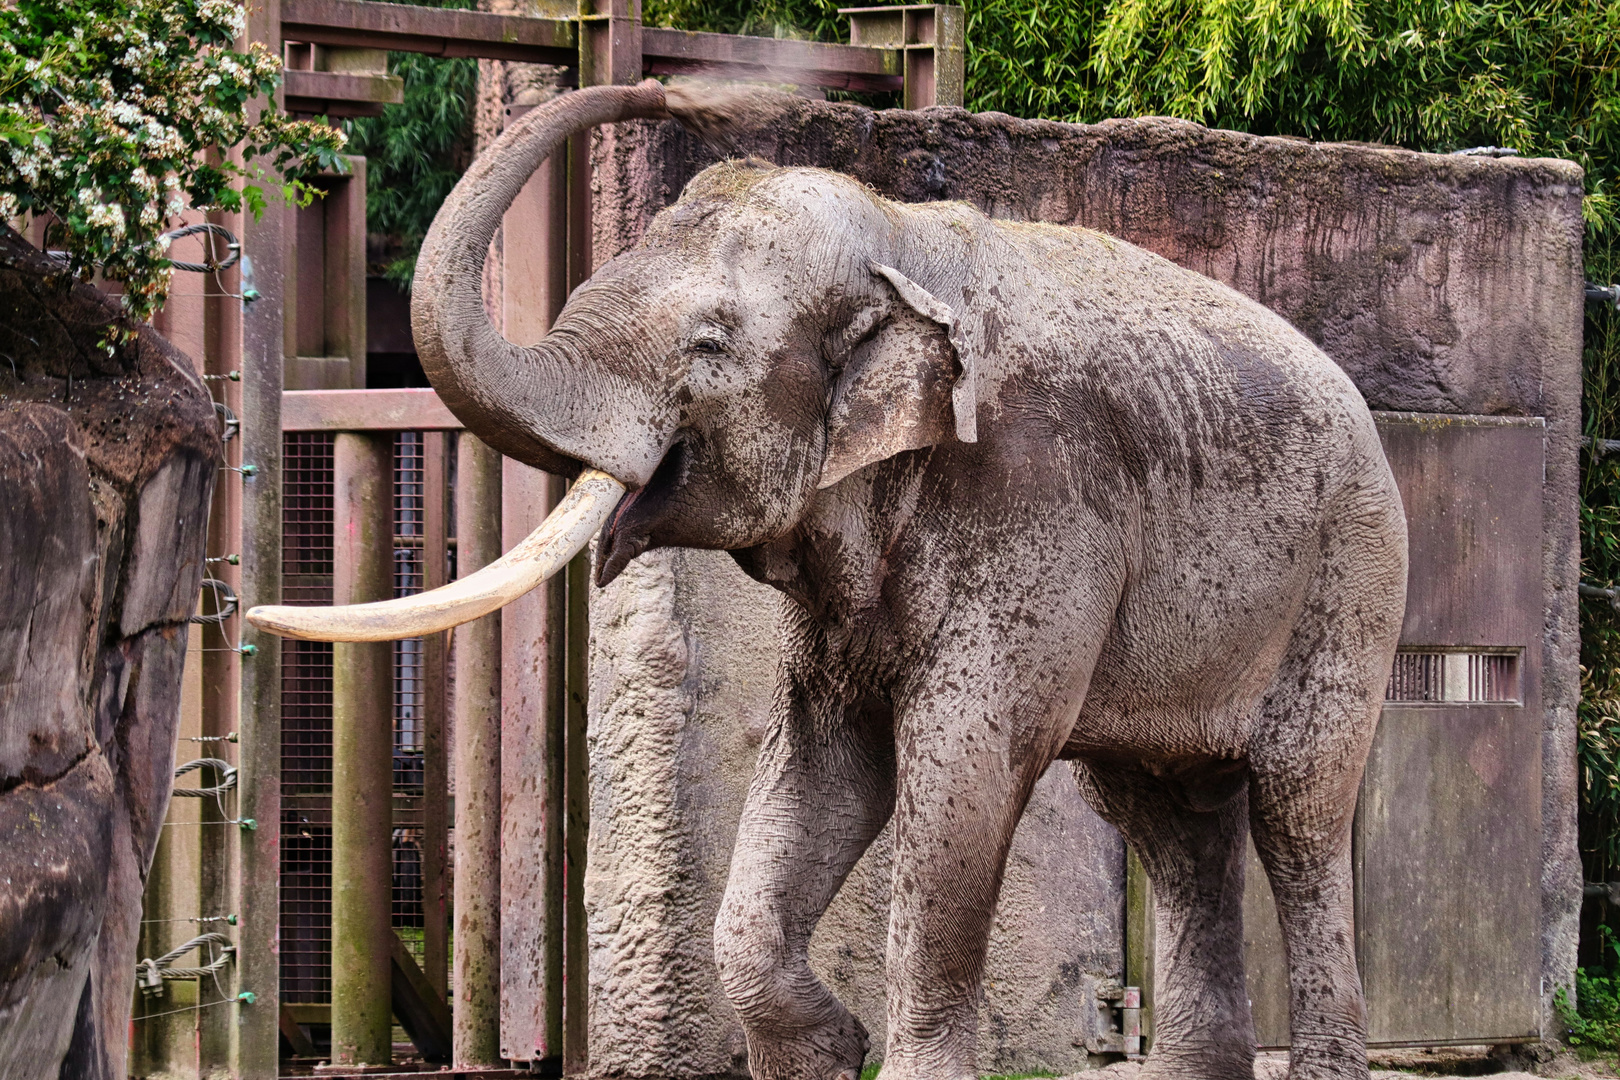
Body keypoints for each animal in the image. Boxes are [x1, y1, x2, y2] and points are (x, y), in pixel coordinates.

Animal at [249, 80, 1406, 1080]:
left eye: (709, 347)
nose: (673, 91)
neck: (903, 240)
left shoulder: (1039, 499)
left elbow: (962, 766)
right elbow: (822, 758)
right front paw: (823, 1053)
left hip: (1351, 578)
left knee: (1296, 815)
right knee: (1163, 816)